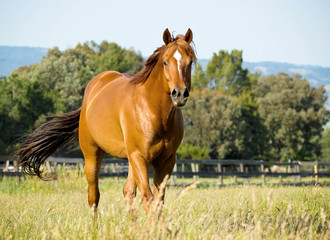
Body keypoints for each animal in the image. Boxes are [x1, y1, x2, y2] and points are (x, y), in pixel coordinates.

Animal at [16, 28, 196, 218]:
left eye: (190, 62)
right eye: (165, 62)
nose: (180, 93)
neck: (154, 112)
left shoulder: (166, 160)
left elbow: (157, 202)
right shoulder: (139, 156)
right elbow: (148, 199)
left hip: (130, 159)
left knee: (128, 192)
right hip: (93, 155)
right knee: (94, 196)